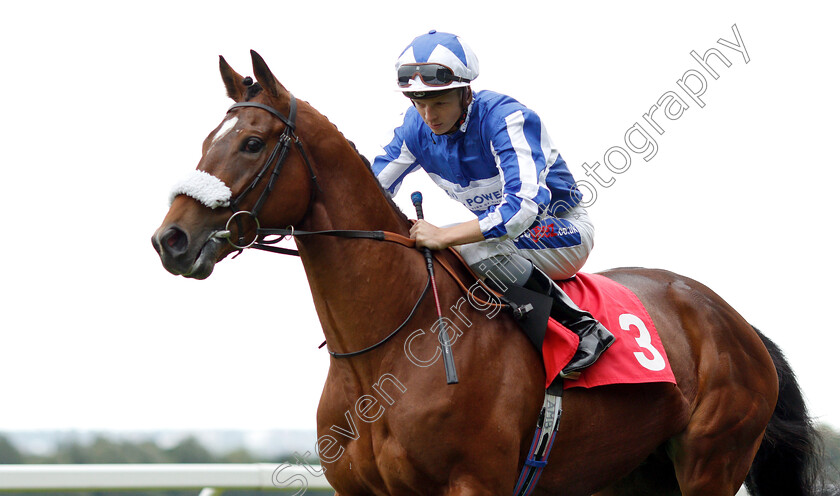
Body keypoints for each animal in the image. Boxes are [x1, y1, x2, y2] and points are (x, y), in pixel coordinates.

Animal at [151, 52, 820, 494]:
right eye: (207, 139)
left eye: (253, 143)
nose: (170, 239)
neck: (386, 353)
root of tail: (735, 322)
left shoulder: (474, 481)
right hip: (635, 474)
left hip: (712, 459)